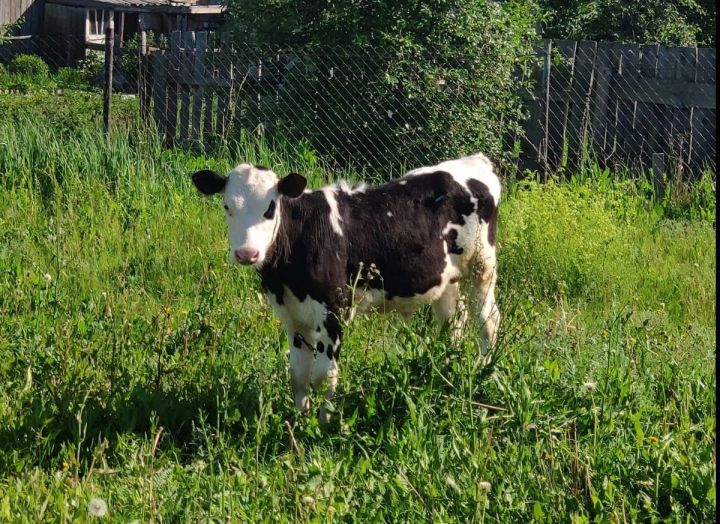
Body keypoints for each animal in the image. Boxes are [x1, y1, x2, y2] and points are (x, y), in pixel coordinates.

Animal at [191, 154, 500, 424]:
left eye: (270, 208)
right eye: (227, 207)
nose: (247, 253)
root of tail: (474, 161)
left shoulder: (334, 311)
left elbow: (324, 374)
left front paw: (323, 425)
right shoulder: (292, 316)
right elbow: (298, 375)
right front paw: (299, 420)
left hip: (482, 266)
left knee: (487, 320)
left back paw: (483, 369)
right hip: (447, 278)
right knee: (453, 320)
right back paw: (447, 366)